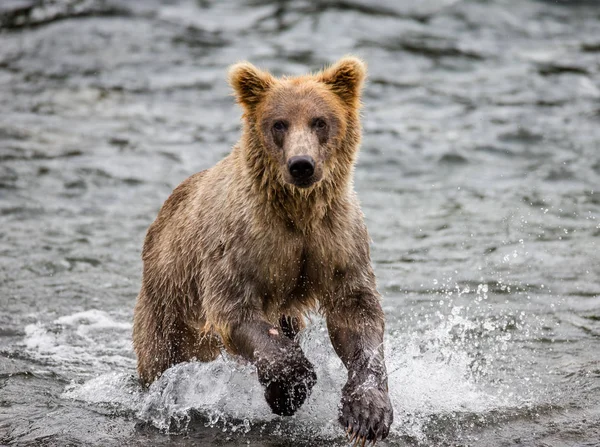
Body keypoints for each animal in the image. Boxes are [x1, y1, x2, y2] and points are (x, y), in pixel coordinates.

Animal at [132, 57, 394, 444]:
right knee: (162, 355)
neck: (298, 210)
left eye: (320, 121)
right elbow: (235, 309)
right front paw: (291, 387)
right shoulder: (242, 242)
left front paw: (366, 413)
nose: (302, 164)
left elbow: (355, 311)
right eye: (279, 123)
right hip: (168, 305)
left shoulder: (337, 239)